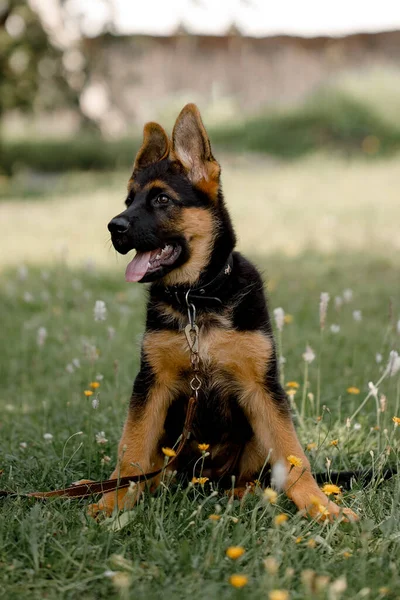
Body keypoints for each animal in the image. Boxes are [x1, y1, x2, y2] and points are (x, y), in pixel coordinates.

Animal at [92, 103, 358, 520]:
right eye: (128, 201)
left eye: (161, 200)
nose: (113, 227)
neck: (198, 298)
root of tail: (203, 480)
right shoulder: (151, 384)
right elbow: (131, 451)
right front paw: (113, 502)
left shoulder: (262, 388)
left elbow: (295, 457)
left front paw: (321, 507)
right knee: (151, 468)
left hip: (252, 429)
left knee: (256, 474)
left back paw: (244, 493)